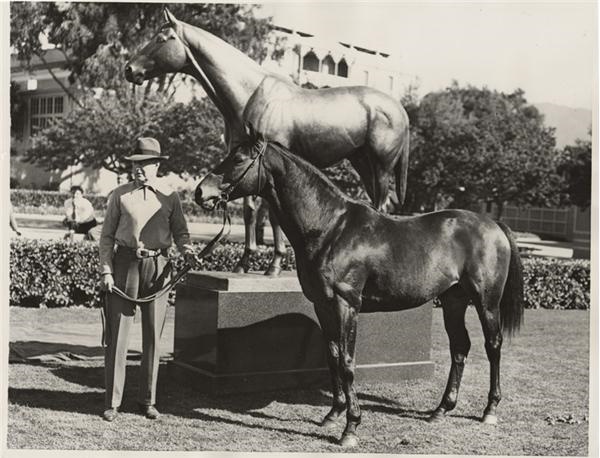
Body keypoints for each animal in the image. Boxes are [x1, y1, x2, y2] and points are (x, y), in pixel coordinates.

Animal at [124, 8, 410, 278]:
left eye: (162, 38)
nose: (129, 69)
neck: (250, 94)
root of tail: (400, 110)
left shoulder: (269, 163)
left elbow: (272, 214)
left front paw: (274, 265)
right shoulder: (246, 165)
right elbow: (250, 210)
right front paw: (243, 262)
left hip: (381, 166)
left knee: (382, 203)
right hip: (362, 163)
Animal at [195, 128, 524, 448]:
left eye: (238, 159)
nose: (200, 192)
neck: (331, 227)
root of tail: (493, 224)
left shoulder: (347, 304)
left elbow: (348, 362)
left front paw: (351, 428)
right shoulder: (322, 304)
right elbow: (332, 356)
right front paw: (333, 414)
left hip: (486, 301)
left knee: (493, 345)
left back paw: (490, 410)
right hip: (453, 301)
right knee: (460, 348)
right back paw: (441, 409)